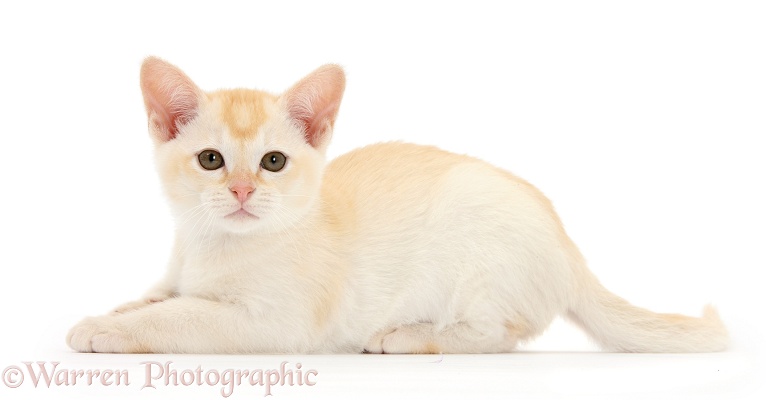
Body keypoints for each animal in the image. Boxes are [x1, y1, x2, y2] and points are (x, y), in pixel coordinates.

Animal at [67, 57, 732, 354]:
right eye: (211, 160)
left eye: (273, 162)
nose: (241, 191)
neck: (214, 247)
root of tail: (570, 250)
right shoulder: (179, 275)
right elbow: (160, 298)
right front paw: (113, 312)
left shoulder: (275, 323)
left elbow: (183, 316)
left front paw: (106, 330)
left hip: (482, 254)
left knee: (500, 335)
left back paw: (408, 336)